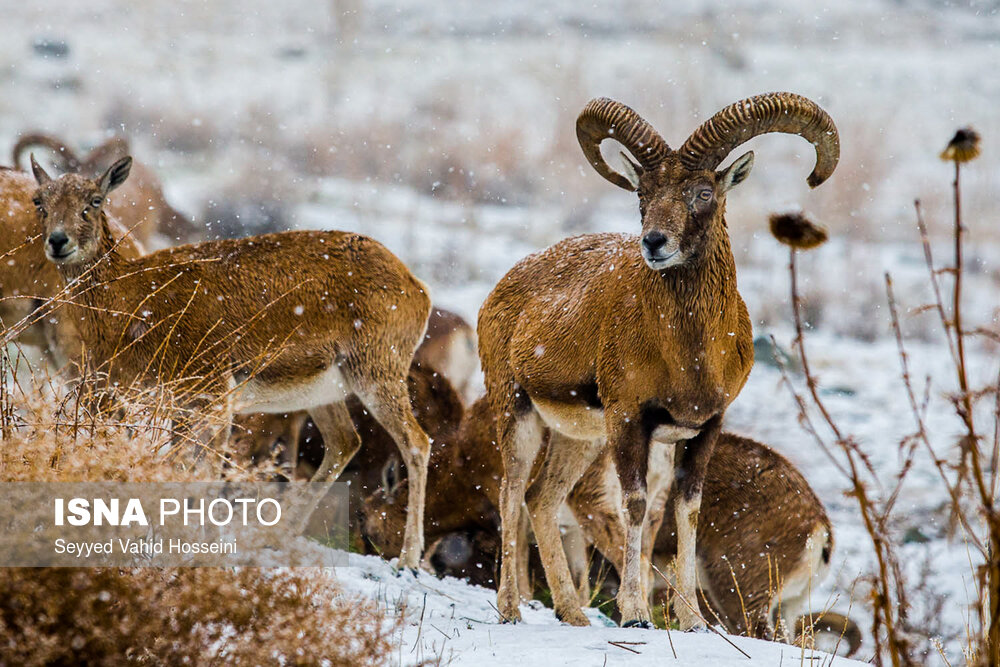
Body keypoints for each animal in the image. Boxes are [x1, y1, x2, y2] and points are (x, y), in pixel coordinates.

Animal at [30, 155, 434, 568]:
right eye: (39, 200)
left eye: (94, 200)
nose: (58, 241)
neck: (135, 304)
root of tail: (419, 289)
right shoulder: (178, 404)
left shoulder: (214, 395)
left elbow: (205, 471)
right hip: (323, 392)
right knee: (344, 441)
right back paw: (277, 536)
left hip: (377, 372)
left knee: (416, 443)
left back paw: (408, 559)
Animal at [480, 92, 840, 628]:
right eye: (643, 193)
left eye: (703, 192)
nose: (655, 243)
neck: (689, 354)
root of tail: (502, 289)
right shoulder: (630, 420)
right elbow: (635, 506)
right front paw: (634, 615)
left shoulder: (702, 429)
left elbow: (685, 511)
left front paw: (691, 621)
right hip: (517, 409)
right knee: (512, 492)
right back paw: (510, 611)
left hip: (578, 437)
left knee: (540, 498)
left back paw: (575, 615)